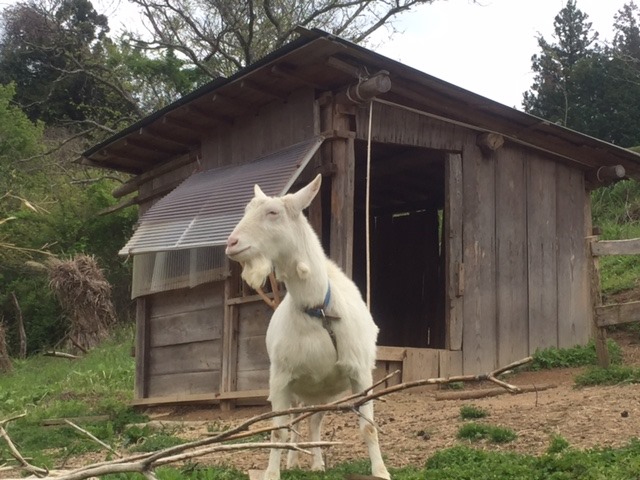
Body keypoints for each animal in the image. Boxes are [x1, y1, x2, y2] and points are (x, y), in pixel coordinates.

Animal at [225, 174, 390, 480]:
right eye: (246, 210)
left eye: (273, 213)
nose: (232, 243)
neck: (318, 309)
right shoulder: (280, 378)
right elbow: (278, 431)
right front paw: (272, 473)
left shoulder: (361, 373)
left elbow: (368, 427)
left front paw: (381, 471)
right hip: (298, 388)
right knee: (296, 422)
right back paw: (294, 461)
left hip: (322, 391)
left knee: (314, 421)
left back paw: (317, 463)